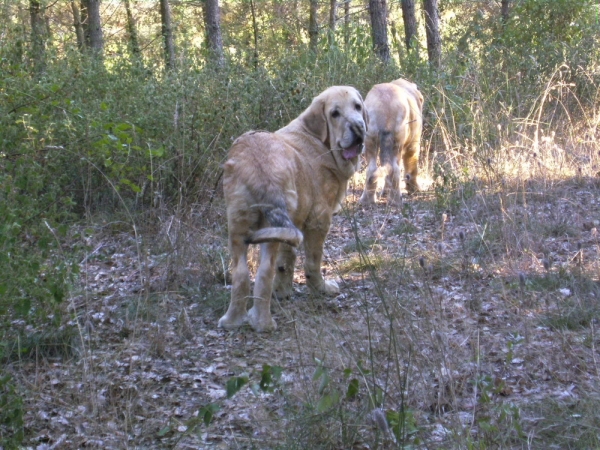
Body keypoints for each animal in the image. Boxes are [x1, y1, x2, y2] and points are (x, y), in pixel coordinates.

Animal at [218, 85, 368, 330]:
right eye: (335, 114)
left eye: (357, 106)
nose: (357, 127)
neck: (320, 140)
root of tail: (260, 167)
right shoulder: (318, 221)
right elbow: (312, 262)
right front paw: (321, 289)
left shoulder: (293, 222)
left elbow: (286, 261)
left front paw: (283, 292)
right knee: (264, 273)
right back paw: (263, 323)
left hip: (240, 226)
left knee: (241, 274)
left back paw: (233, 320)